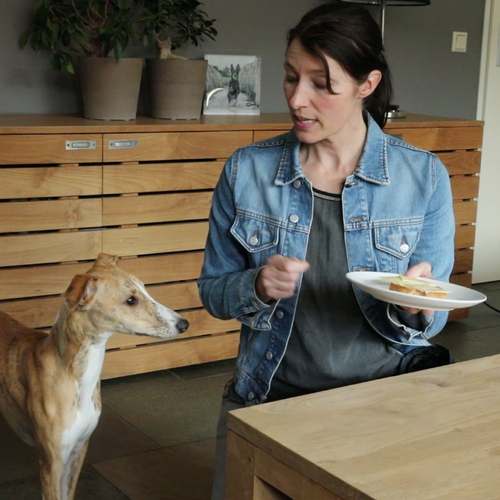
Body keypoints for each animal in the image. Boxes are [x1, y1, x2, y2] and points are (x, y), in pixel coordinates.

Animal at [0, 254, 188, 500]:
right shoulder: (52, 463)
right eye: (130, 300)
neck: (74, 378)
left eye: (145, 289)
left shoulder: (78, 451)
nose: (184, 324)